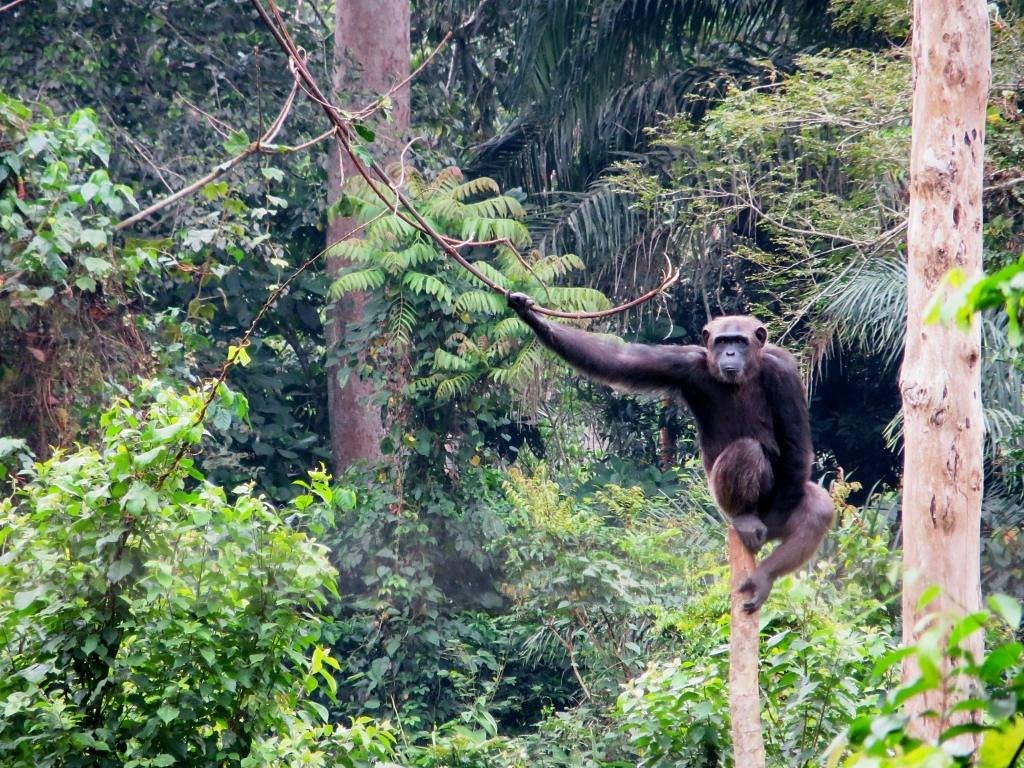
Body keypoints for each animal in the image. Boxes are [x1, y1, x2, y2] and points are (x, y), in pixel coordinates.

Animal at [507, 294, 835, 614]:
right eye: (722, 341)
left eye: (740, 341)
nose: (730, 353)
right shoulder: (683, 364)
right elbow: (620, 360)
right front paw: (532, 317)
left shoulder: (784, 373)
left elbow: (795, 443)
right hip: (722, 502)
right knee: (747, 451)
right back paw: (744, 519)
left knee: (817, 507)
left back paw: (765, 574)